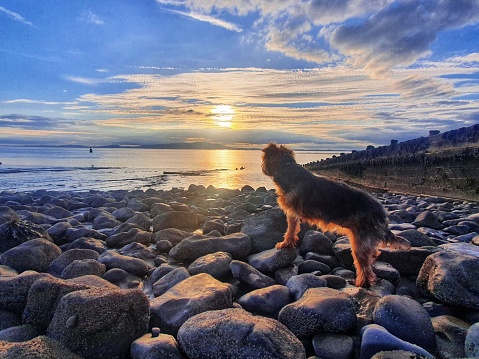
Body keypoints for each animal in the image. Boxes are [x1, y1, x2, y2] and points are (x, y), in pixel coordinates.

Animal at [262, 143, 412, 286]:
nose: (263, 167)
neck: (286, 168)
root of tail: (381, 211)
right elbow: (292, 230)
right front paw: (288, 243)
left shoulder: (292, 212)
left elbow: (290, 229)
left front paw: (285, 243)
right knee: (370, 258)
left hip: (360, 242)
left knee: (365, 267)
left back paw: (361, 283)